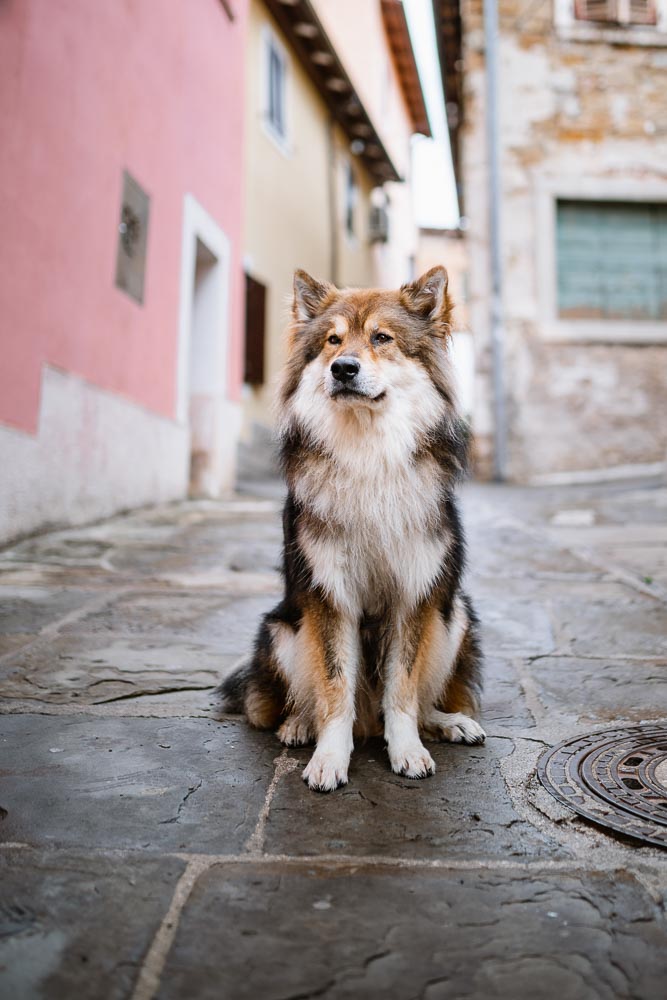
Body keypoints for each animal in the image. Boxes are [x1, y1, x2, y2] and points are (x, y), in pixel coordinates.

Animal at [220, 266, 486, 788]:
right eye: (332, 340)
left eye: (382, 338)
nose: (343, 368)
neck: (368, 455)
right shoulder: (330, 595)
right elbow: (334, 685)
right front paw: (329, 757)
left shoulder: (414, 594)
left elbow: (402, 690)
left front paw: (407, 751)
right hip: (281, 628)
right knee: (293, 701)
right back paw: (299, 724)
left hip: (455, 614)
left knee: (417, 702)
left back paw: (450, 723)